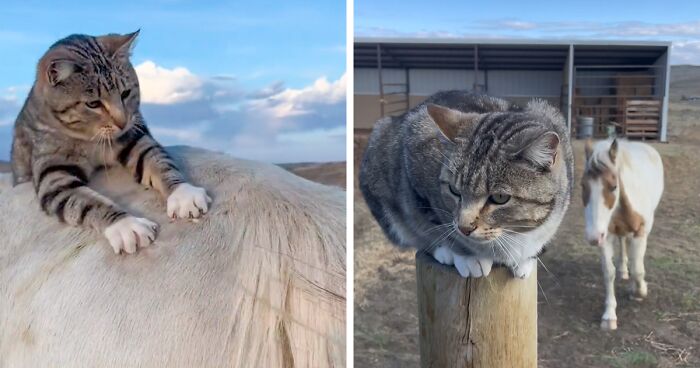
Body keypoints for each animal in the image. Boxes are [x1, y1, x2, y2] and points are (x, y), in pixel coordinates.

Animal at [10, 31, 211, 254]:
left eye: (125, 93)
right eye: (93, 103)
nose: (122, 122)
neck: (91, 141)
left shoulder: (134, 138)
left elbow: (158, 161)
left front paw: (183, 193)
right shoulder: (53, 174)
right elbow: (86, 202)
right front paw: (126, 225)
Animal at [358, 90, 572, 278]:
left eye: (500, 197)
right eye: (454, 190)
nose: (465, 228)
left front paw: (525, 260)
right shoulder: (415, 163)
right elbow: (438, 225)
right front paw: (468, 258)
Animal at [584, 138, 664, 330]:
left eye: (613, 187)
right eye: (583, 186)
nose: (593, 237)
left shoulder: (640, 232)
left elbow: (638, 269)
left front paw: (640, 291)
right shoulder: (605, 236)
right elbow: (608, 272)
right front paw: (609, 316)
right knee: (622, 242)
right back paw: (622, 270)